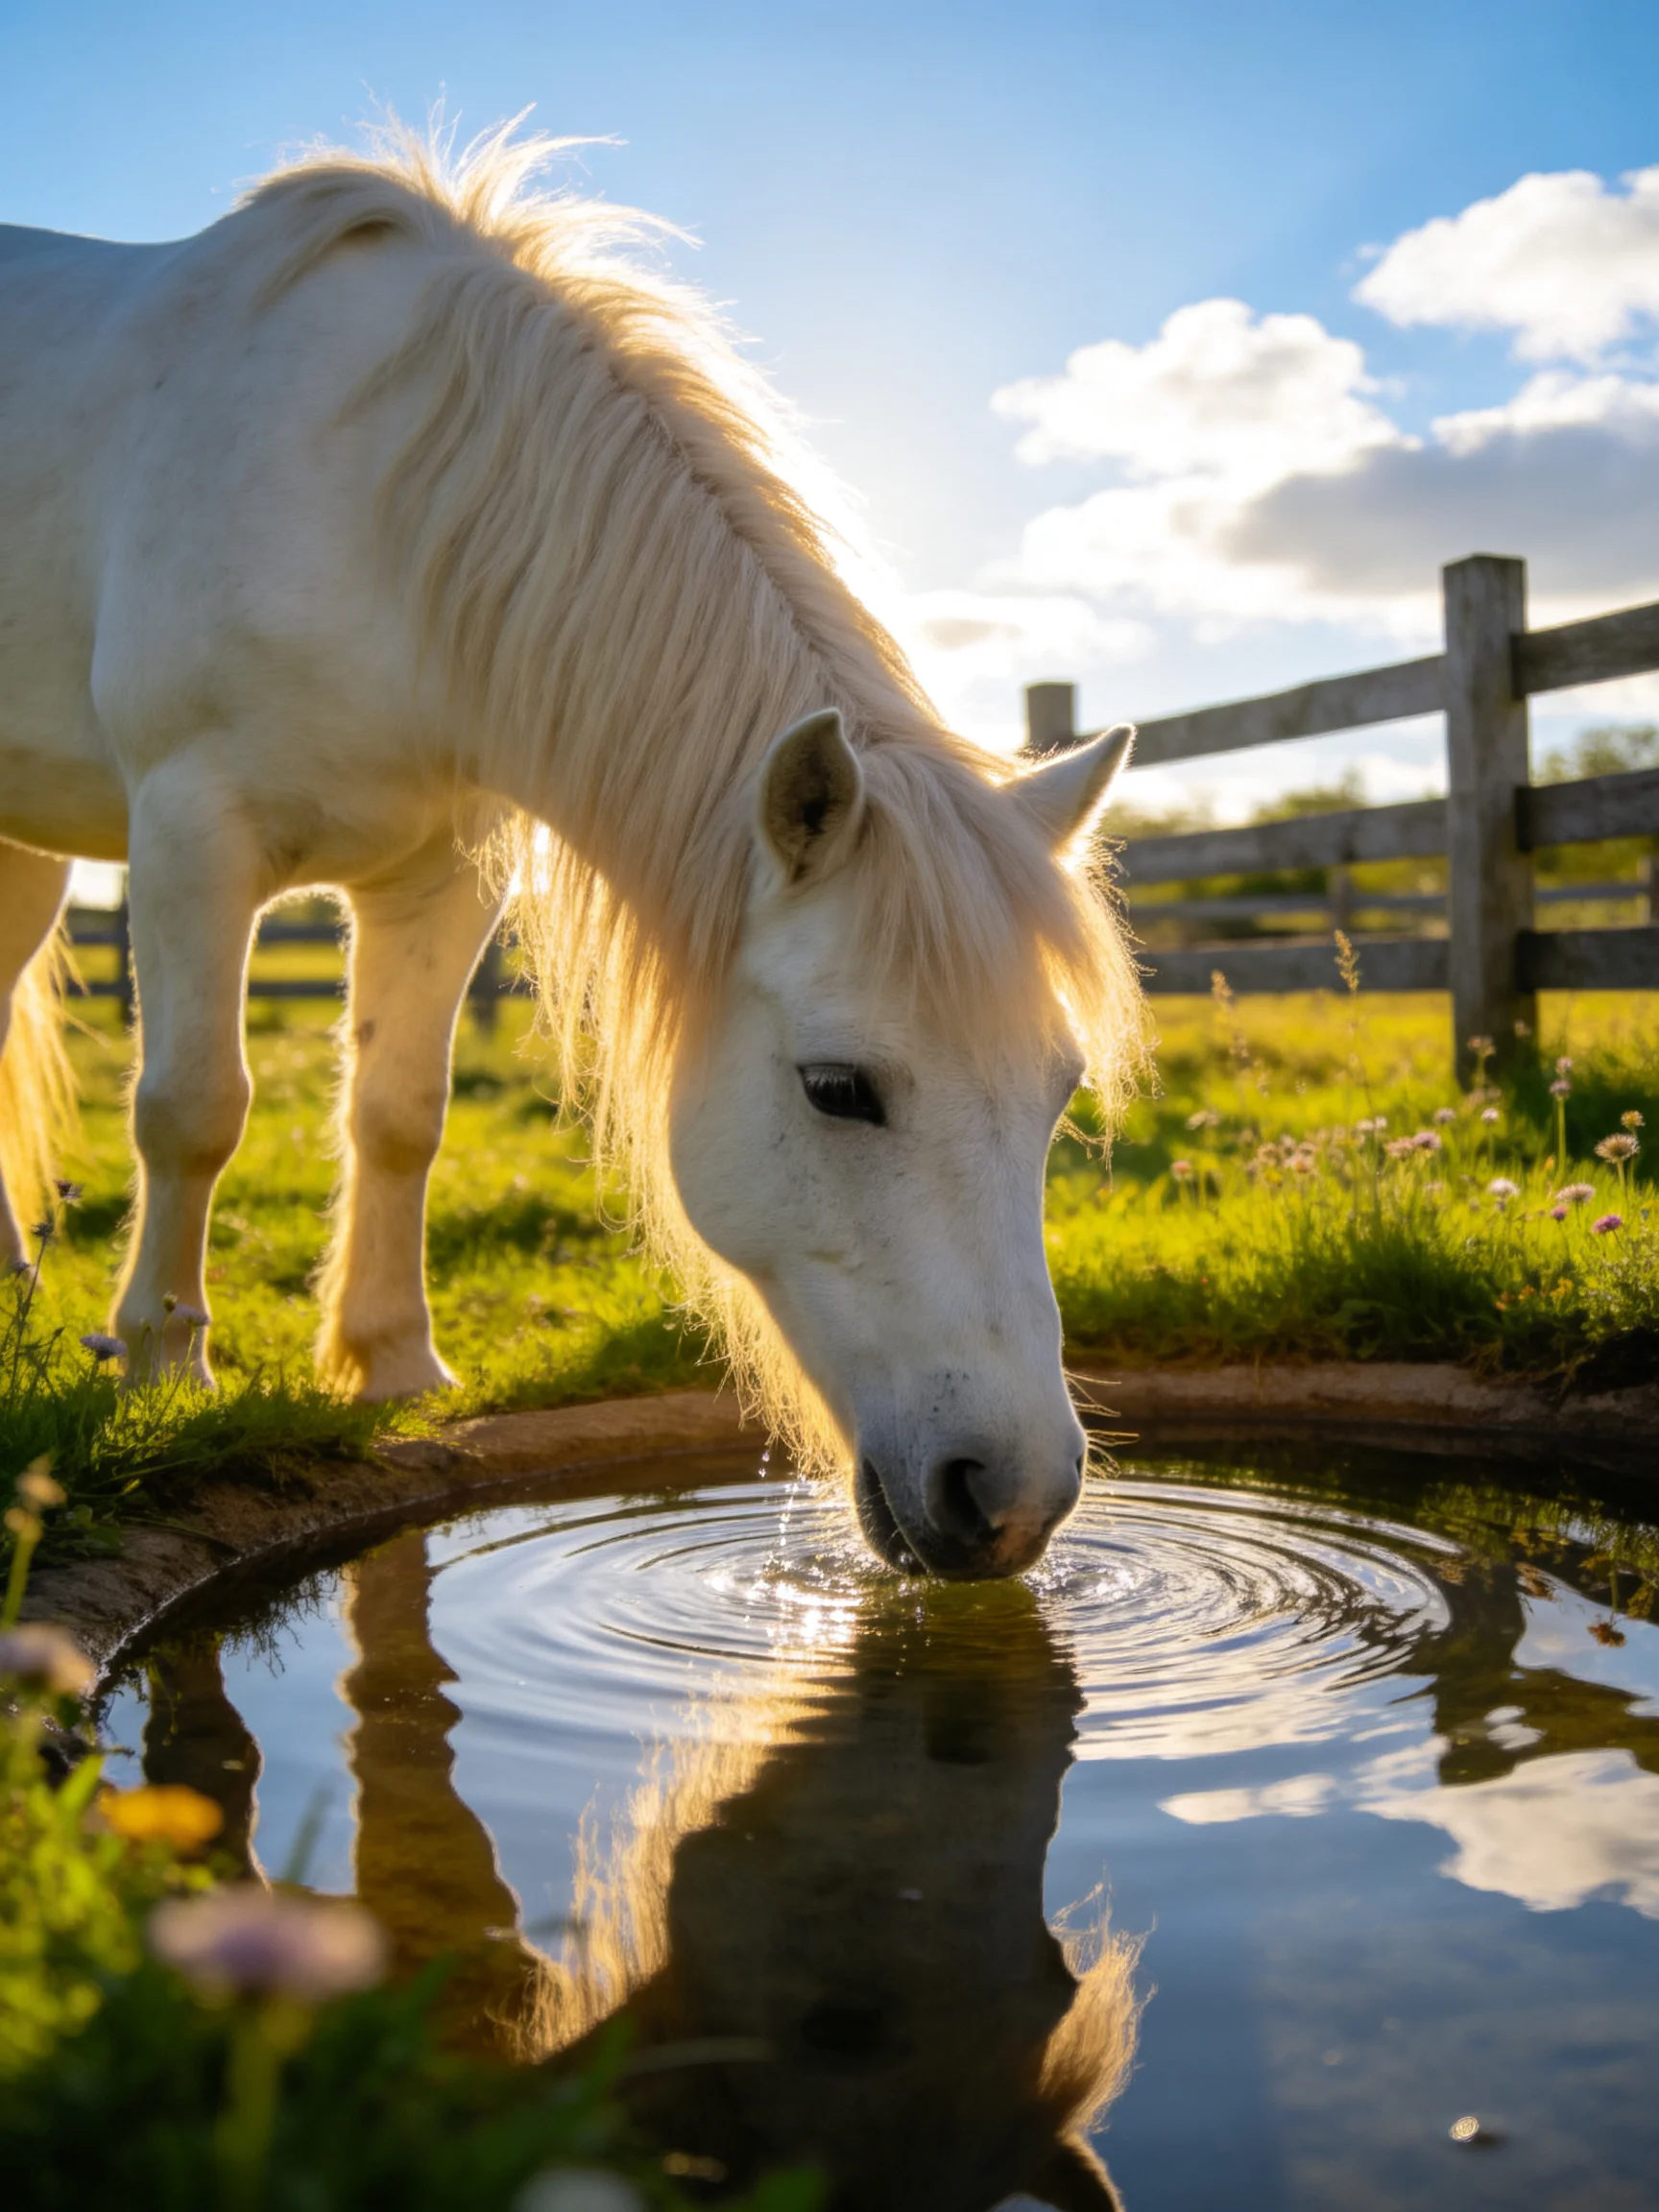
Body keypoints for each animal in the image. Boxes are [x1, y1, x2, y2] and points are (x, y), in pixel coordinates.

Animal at [0, 122, 1143, 1578]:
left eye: (1057, 1093)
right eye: (838, 1090)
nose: (1015, 1499)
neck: (373, 504)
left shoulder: (441, 877)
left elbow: (400, 1114)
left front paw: (392, 1367)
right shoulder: (191, 829)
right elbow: (193, 1110)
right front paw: (162, 1373)